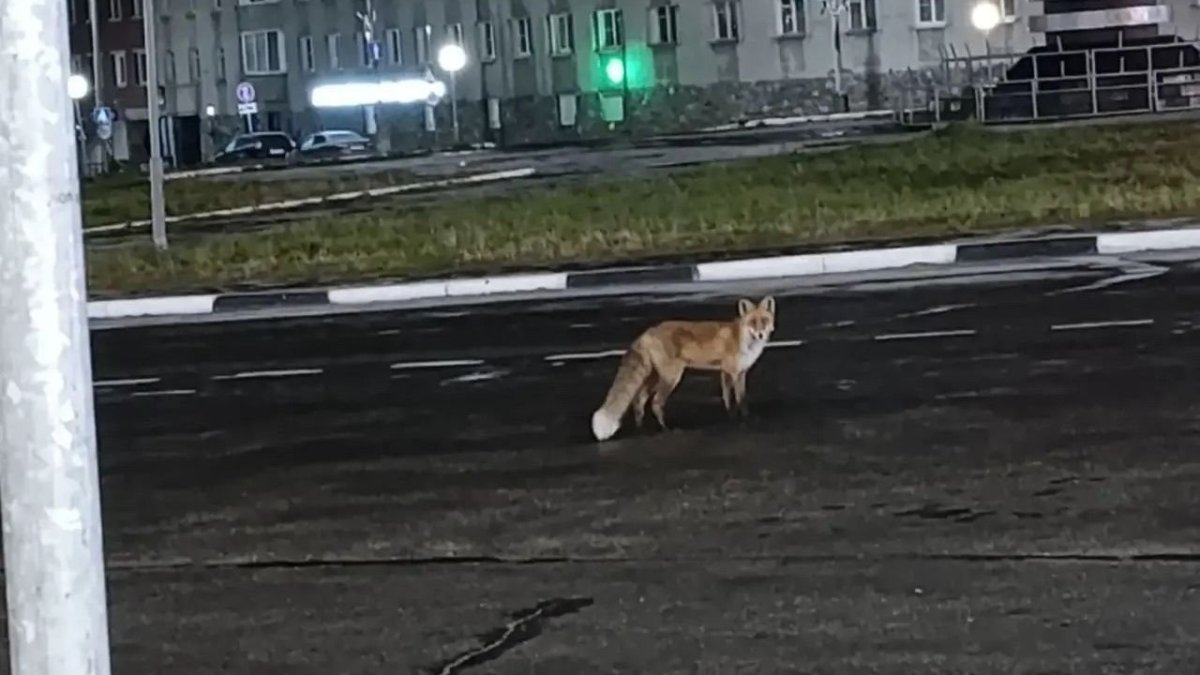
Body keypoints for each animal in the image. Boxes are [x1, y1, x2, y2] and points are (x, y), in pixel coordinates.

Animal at [590, 296, 777, 441]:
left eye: (764, 321)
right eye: (752, 322)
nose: (760, 334)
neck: (742, 338)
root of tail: (647, 332)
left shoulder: (730, 372)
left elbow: (727, 398)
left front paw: (731, 418)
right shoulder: (735, 372)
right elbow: (741, 399)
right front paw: (745, 420)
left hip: (653, 377)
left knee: (639, 401)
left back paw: (640, 429)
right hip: (671, 377)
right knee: (656, 402)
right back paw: (666, 429)